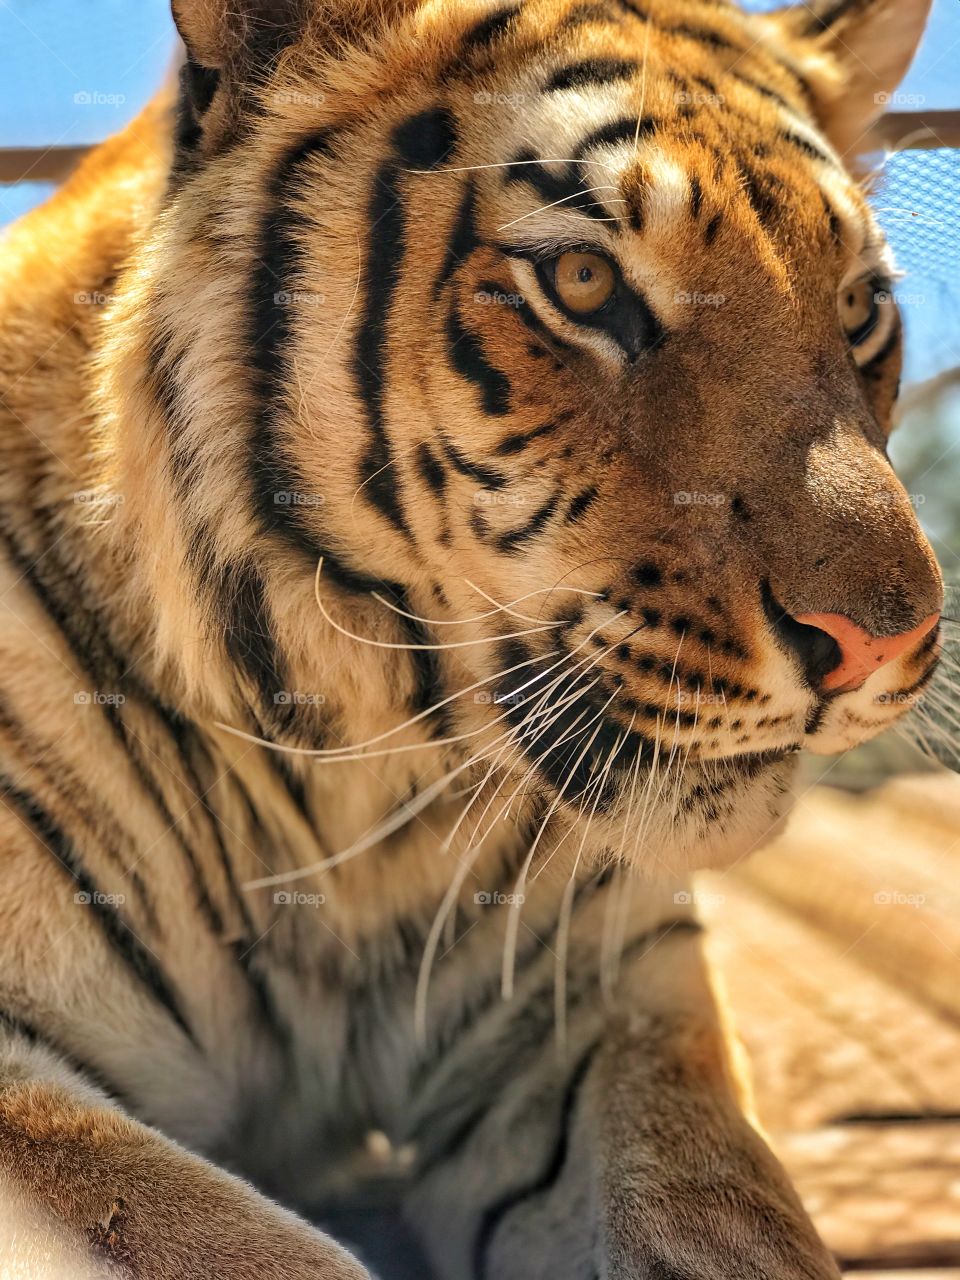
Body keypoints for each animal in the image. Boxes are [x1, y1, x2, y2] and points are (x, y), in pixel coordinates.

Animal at [0, 0, 944, 1275]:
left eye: (857, 309)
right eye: (584, 282)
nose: (886, 640)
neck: (353, 791)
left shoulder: (599, 996)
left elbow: (717, 1210)